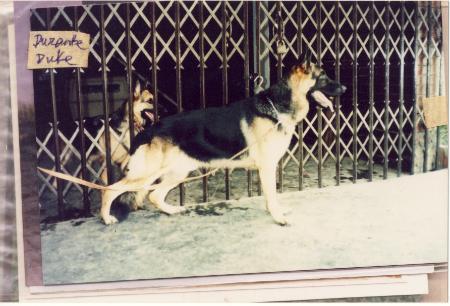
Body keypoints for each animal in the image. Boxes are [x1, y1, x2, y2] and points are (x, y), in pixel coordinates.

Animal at [101, 53, 344, 225]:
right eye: (323, 77)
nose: (345, 87)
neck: (277, 106)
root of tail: (148, 131)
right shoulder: (267, 167)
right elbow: (272, 195)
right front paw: (278, 217)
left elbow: (270, 196)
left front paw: (275, 211)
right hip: (146, 175)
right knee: (110, 190)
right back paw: (106, 218)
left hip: (176, 173)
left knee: (155, 195)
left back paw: (171, 210)